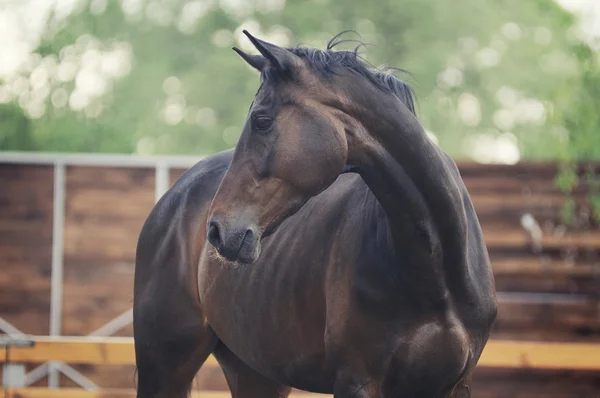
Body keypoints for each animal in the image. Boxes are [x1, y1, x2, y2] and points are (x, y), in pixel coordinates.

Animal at [134, 31, 500, 398]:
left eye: (261, 121)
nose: (217, 230)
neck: (434, 271)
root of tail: (175, 195)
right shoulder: (357, 382)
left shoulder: (453, 386)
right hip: (164, 367)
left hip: (256, 374)